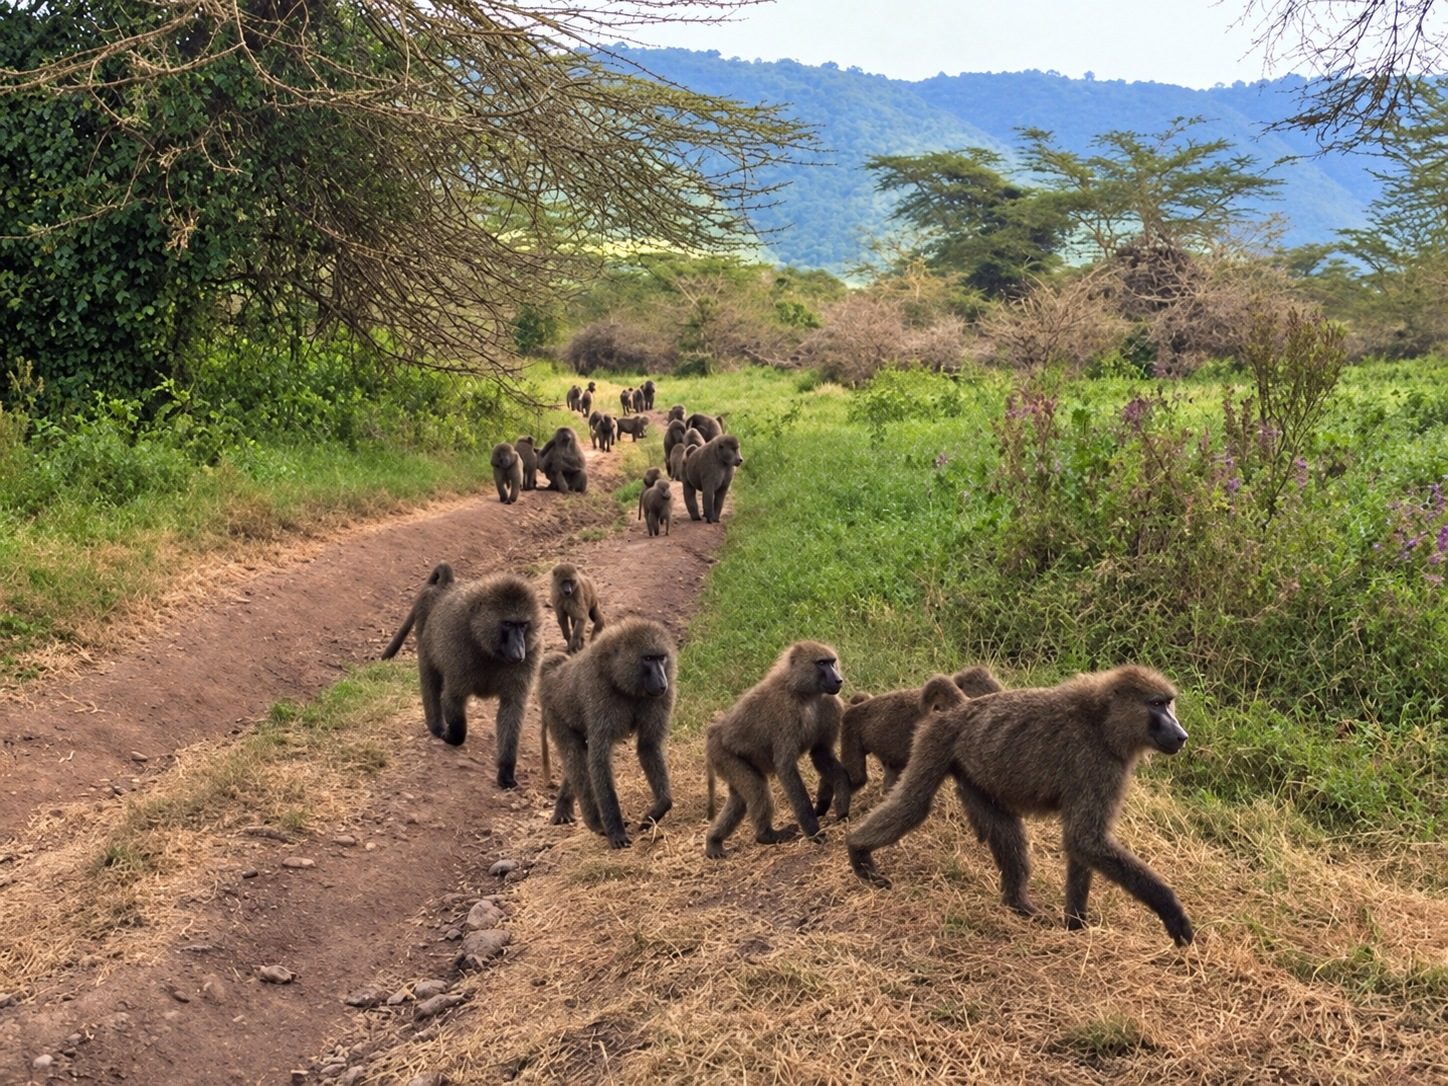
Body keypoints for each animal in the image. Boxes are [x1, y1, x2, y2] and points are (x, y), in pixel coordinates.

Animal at [384, 569, 542, 789]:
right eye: (508, 624)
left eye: (523, 625)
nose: (519, 652)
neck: (487, 646)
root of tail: (444, 587)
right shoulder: (459, 647)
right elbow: (453, 700)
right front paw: (451, 735)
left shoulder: (531, 651)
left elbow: (511, 708)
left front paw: (506, 772)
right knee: (430, 677)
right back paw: (436, 726)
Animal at [539, 618, 676, 848]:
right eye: (648, 659)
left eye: (661, 657)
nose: (662, 683)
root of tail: (554, 674)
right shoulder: (598, 693)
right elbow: (599, 759)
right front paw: (615, 831)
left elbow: (648, 746)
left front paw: (654, 813)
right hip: (554, 711)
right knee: (576, 757)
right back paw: (595, 822)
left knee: (579, 759)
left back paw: (564, 807)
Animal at [705, 641, 850, 858]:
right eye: (821, 663)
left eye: (832, 662)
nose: (838, 679)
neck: (804, 694)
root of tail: (715, 731)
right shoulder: (787, 714)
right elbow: (786, 767)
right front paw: (815, 834)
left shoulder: (830, 703)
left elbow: (821, 754)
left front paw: (842, 800)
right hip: (723, 754)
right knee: (757, 788)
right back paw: (766, 836)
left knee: (739, 800)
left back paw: (713, 841)